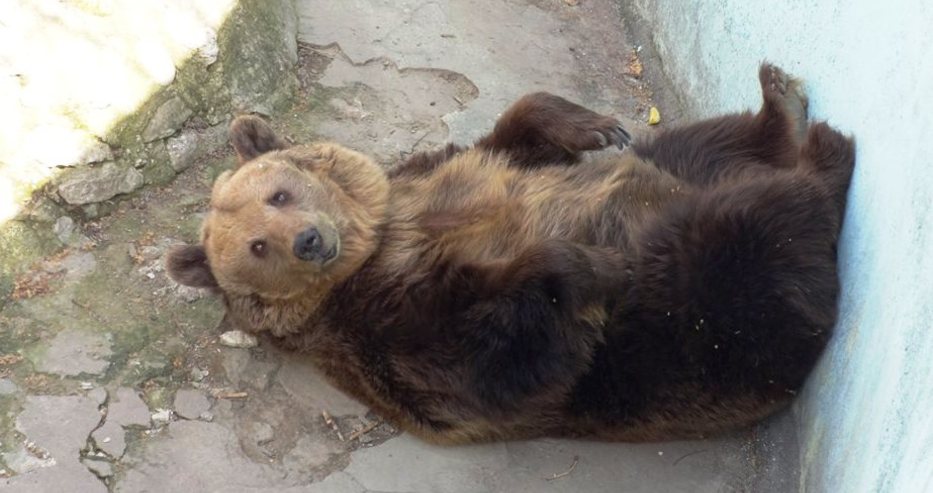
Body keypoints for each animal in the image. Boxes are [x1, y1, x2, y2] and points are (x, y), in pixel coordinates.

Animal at [167, 63, 852, 444]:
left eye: (278, 193)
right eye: (257, 245)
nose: (309, 240)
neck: (377, 244)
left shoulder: (440, 177)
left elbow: (517, 137)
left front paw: (597, 125)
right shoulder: (391, 331)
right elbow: (503, 349)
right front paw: (591, 265)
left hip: (679, 171)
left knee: (708, 143)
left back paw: (781, 102)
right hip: (698, 325)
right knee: (754, 231)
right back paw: (819, 159)